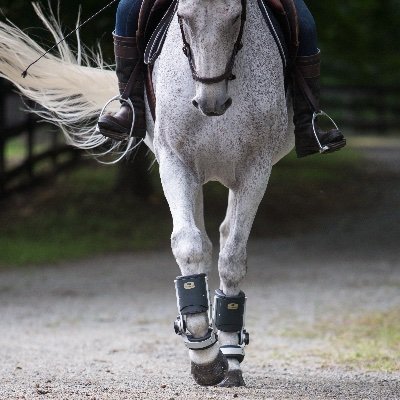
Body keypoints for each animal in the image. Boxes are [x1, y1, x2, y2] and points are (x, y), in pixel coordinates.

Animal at [0, 0, 294, 388]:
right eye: (183, 18)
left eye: (236, 18)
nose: (210, 102)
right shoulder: (175, 162)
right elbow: (188, 246)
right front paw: (204, 357)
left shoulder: (255, 171)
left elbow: (232, 258)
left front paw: (228, 358)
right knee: (202, 240)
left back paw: (230, 351)